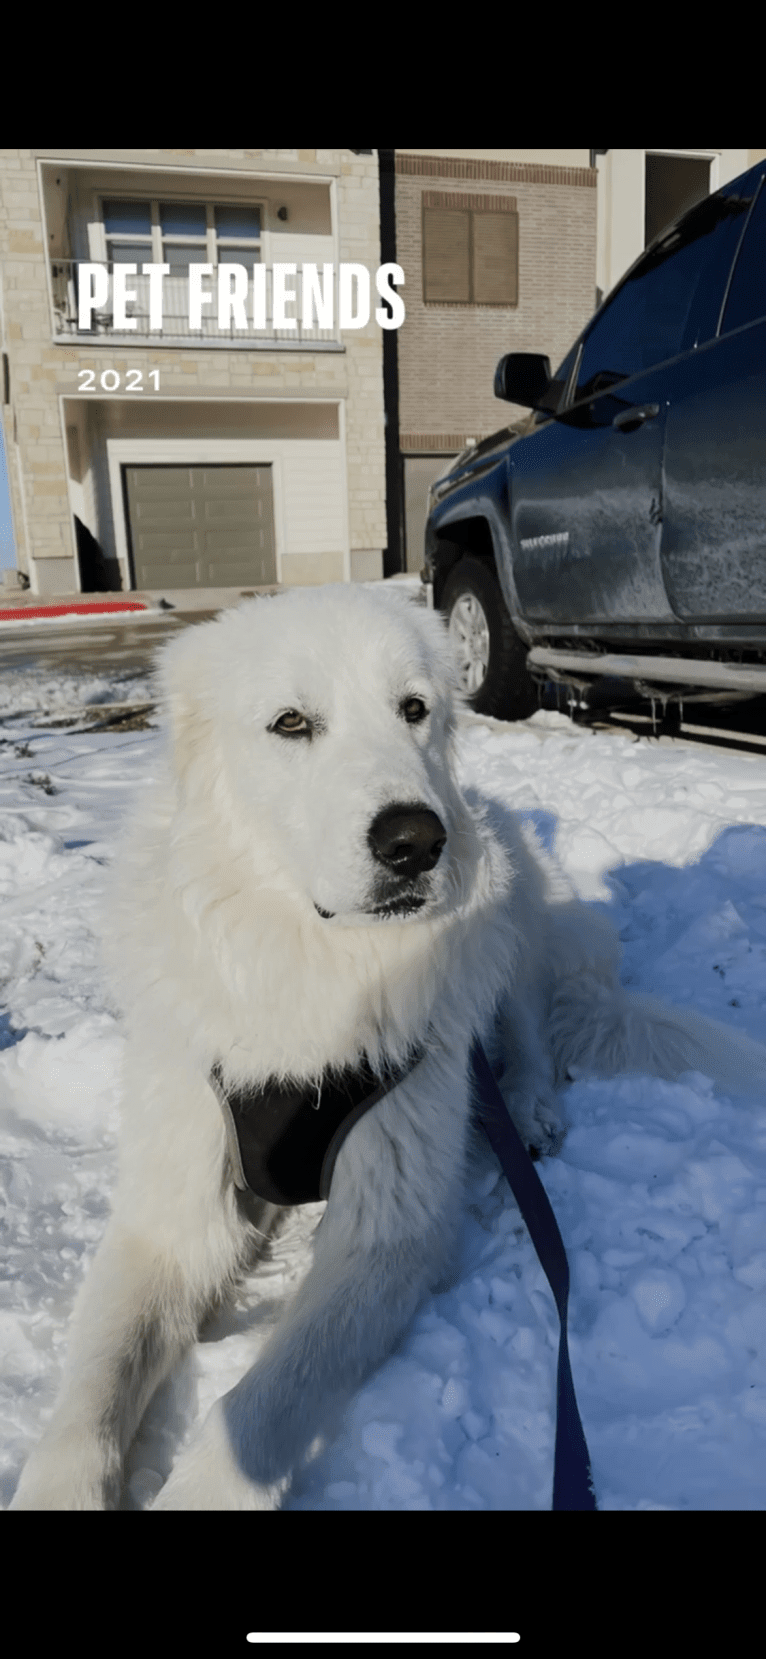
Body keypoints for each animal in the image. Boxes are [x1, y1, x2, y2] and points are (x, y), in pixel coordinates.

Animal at [10, 587, 766, 1519]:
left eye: (414, 709)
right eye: (291, 722)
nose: (415, 840)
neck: (312, 965)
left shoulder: (386, 1230)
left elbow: (262, 1397)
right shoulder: (173, 1209)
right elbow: (98, 1378)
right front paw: (62, 1483)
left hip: (508, 905)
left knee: (524, 1026)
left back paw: (530, 1110)